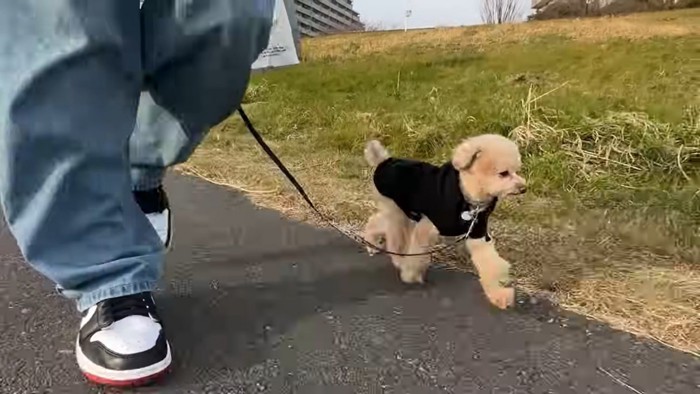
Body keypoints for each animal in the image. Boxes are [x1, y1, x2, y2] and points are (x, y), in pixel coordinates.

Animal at [364, 134, 528, 310]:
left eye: (516, 171)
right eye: (503, 173)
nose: (523, 188)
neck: (467, 196)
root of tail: (384, 160)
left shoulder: (477, 233)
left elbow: (490, 263)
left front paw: (500, 295)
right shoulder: (427, 227)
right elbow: (418, 254)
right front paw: (410, 275)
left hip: (402, 213)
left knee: (378, 222)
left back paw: (372, 242)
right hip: (397, 212)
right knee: (393, 237)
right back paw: (394, 258)